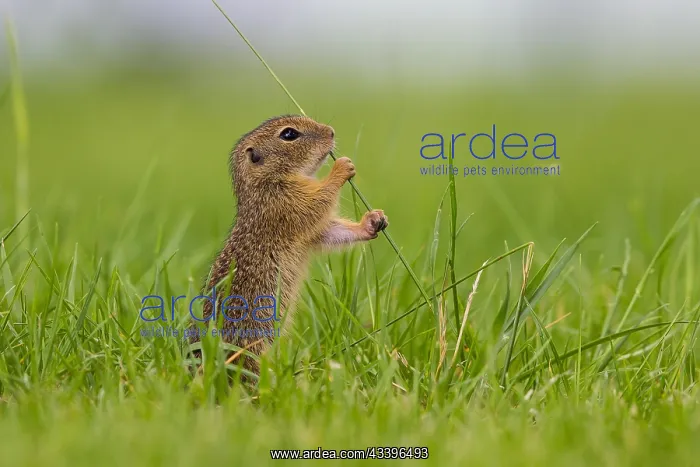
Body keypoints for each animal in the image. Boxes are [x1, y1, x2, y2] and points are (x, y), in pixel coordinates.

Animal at [189, 115, 389, 376]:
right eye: (289, 134)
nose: (331, 132)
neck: (265, 182)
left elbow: (326, 231)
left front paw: (373, 221)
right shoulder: (285, 202)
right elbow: (317, 203)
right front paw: (341, 168)